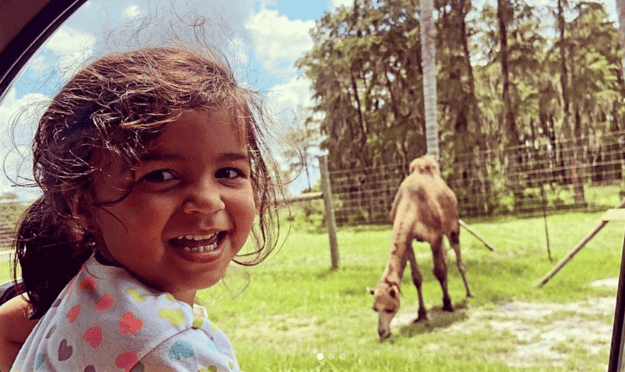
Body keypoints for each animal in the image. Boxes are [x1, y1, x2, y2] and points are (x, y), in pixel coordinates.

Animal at [364, 154, 470, 340]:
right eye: (375, 308)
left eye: (390, 308)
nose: (382, 332)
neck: (412, 206)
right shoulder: (409, 239)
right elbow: (417, 277)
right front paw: (421, 314)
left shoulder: (434, 236)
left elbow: (439, 271)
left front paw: (447, 303)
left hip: (453, 225)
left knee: (457, 257)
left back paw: (469, 293)